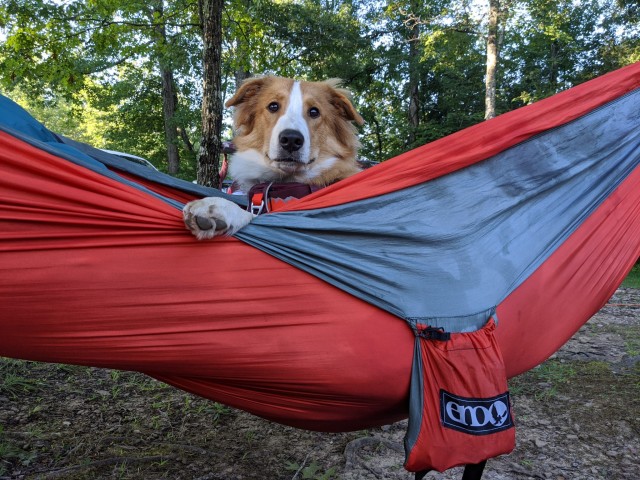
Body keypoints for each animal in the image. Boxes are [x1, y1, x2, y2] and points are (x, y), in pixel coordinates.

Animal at [185, 77, 364, 240]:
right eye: (273, 106)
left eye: (314, 112)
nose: (291, 139)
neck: (282, 183)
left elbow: (255, 215)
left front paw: (221, 208)